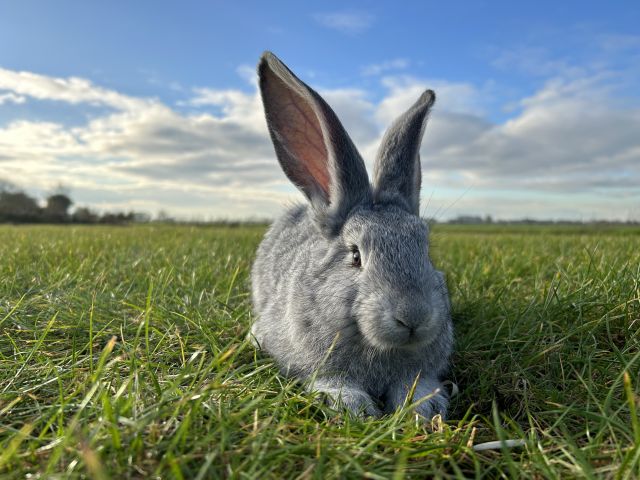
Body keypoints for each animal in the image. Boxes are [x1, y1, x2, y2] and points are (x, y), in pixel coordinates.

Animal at [251, 51, 456, 420]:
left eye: (425, 248)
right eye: (355, 255)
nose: (413, 317)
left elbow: (416, 380)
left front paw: (424, 405)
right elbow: (327, 377)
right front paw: (351, 405)